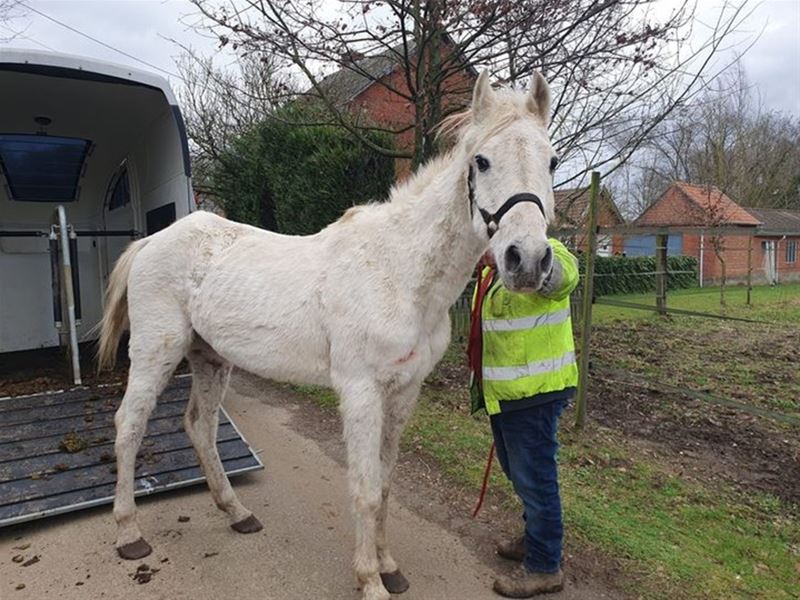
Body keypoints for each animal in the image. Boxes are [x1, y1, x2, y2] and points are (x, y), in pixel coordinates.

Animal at [98, 71, 558, 600]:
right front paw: (370, 580)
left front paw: (389, 567)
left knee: (199, 427)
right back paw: (129, 535)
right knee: (129, 426)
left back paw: (237, 513)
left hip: (210, 358)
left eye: (552, 161)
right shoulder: (360, 392)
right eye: (481, 161)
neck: (398, 270)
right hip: (157, 351)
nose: (528, 260)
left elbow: (384, 484)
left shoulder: (404, 393)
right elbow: (364, 489)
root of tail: (154, 241)